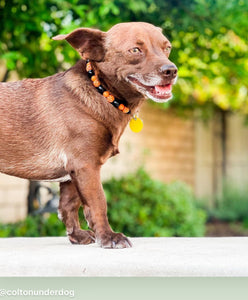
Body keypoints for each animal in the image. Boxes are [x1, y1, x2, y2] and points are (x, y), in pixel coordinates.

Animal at [0, 21, 177, 248]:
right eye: (135, 50)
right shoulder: (86, 165)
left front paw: (77, 236)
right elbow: (98, 202)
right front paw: (109, 237)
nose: (171, 70)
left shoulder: (72, 174)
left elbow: (69, 205)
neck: (101, 91)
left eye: (167, 48)